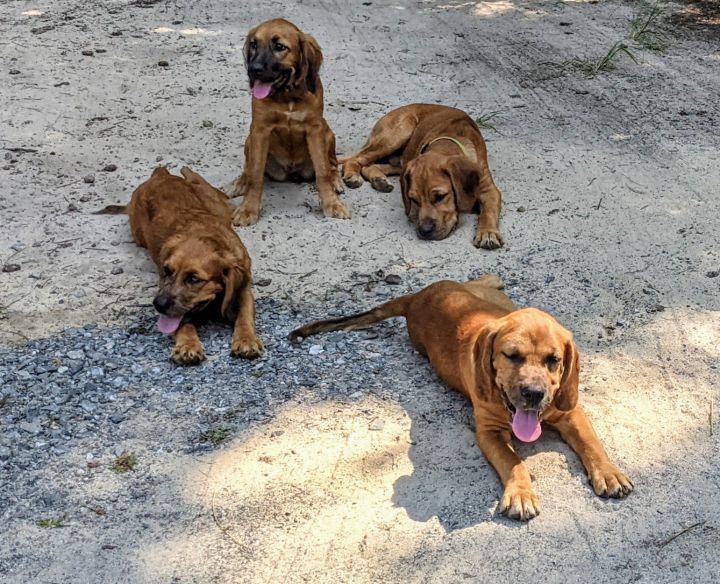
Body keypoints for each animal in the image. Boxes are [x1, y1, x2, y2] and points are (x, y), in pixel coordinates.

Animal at [95, 167, 262, 362]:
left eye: (194, 279)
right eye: (167, 271)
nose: (158, 305)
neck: (204, 234)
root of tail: (160, 175)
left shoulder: (244, 286)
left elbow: (245, 314)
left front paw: (246, 339)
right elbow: (182, 323)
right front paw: (187, 345)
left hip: (220, 206)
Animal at [226, 18, 348, 226]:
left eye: (279, 47)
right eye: (253, 45)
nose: (253, 70)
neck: (287, 96)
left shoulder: (315, 129)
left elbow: (322, 171)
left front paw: (332, 204)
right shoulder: (259, 130)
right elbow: (255, 175)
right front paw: (248, 209)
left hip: (327, 132)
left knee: (331, 162)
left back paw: (335, 180)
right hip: (250, 139)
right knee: (248, 167)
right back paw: (239, 183)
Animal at [342, 104, 500, 248]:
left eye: (440, 197)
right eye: (413, 200)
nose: (425, 231)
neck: (449, 139)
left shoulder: (489, 190)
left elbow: (489, 211)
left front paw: (488, 233)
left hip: (401, 161)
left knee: (369, 165)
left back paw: (378, 180)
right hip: (398, 133)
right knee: (357, 159)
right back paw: (352, 175)